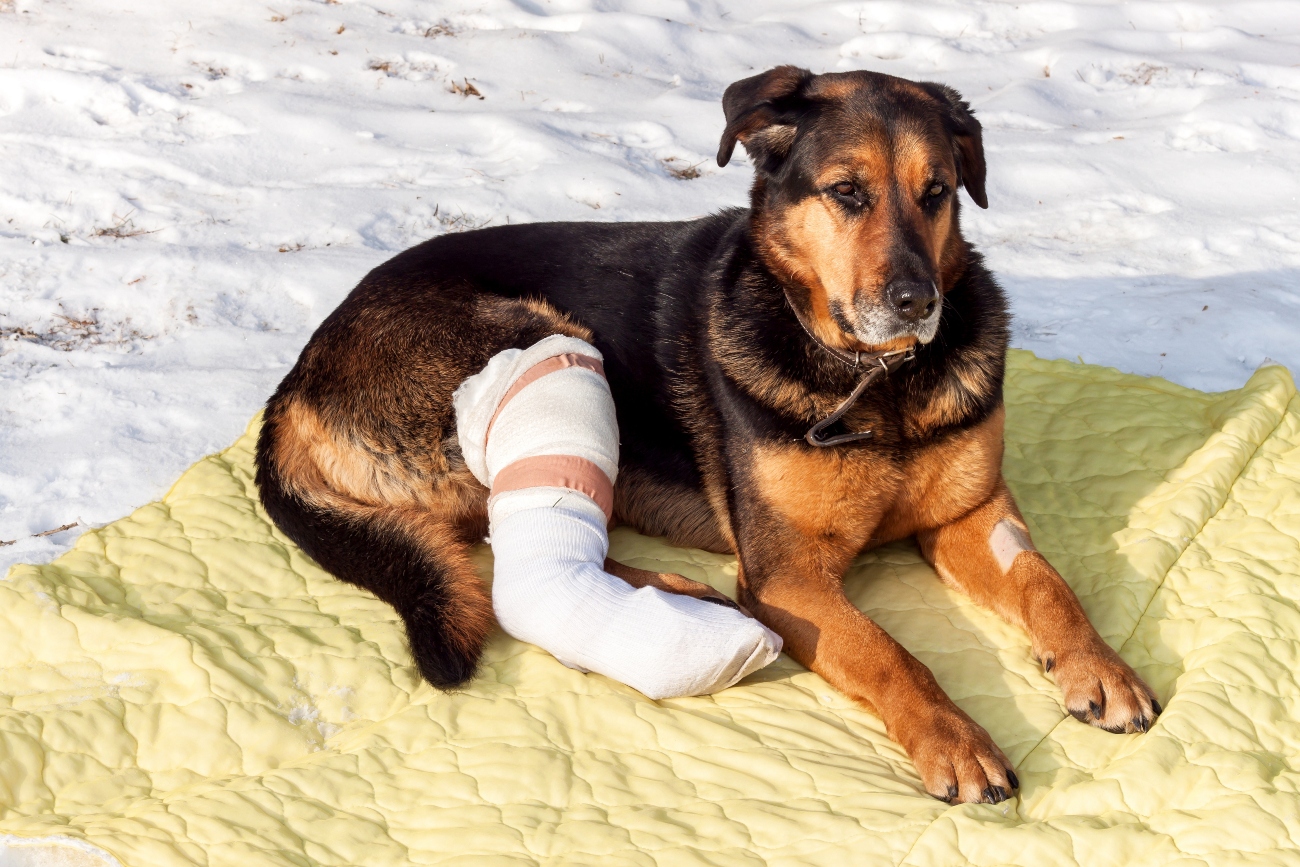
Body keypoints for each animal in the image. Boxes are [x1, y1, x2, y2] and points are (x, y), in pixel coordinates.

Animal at [253, 66, 1159, 805]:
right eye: (847, 193)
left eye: (936, 192)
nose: (918, 302)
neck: (875, 380)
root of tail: (295, 379)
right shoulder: (790, 574)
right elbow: (887, 650)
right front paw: (955, 738)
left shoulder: (970, 514)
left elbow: (1047, 581)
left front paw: (1100, 666)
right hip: (537, 342)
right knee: (513, 558)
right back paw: (688, 599)